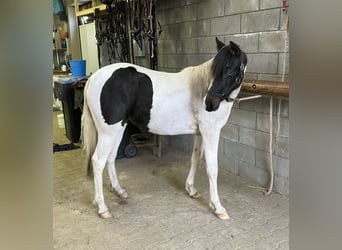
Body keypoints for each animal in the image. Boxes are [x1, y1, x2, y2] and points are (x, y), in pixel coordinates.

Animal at [83, 38, 248, 220]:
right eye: (216, 70)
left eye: (230, 70)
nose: (210, 104)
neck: (200, 87)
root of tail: (93, 78)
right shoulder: (211, 132)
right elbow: (212, 168)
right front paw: (218, 207)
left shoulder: (200, 133)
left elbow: (195, 159)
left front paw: (191, 190)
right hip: (108, 133)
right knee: (98, 161)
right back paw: (102, 207)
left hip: (117, 130)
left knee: (111, 157)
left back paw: (118, 190)